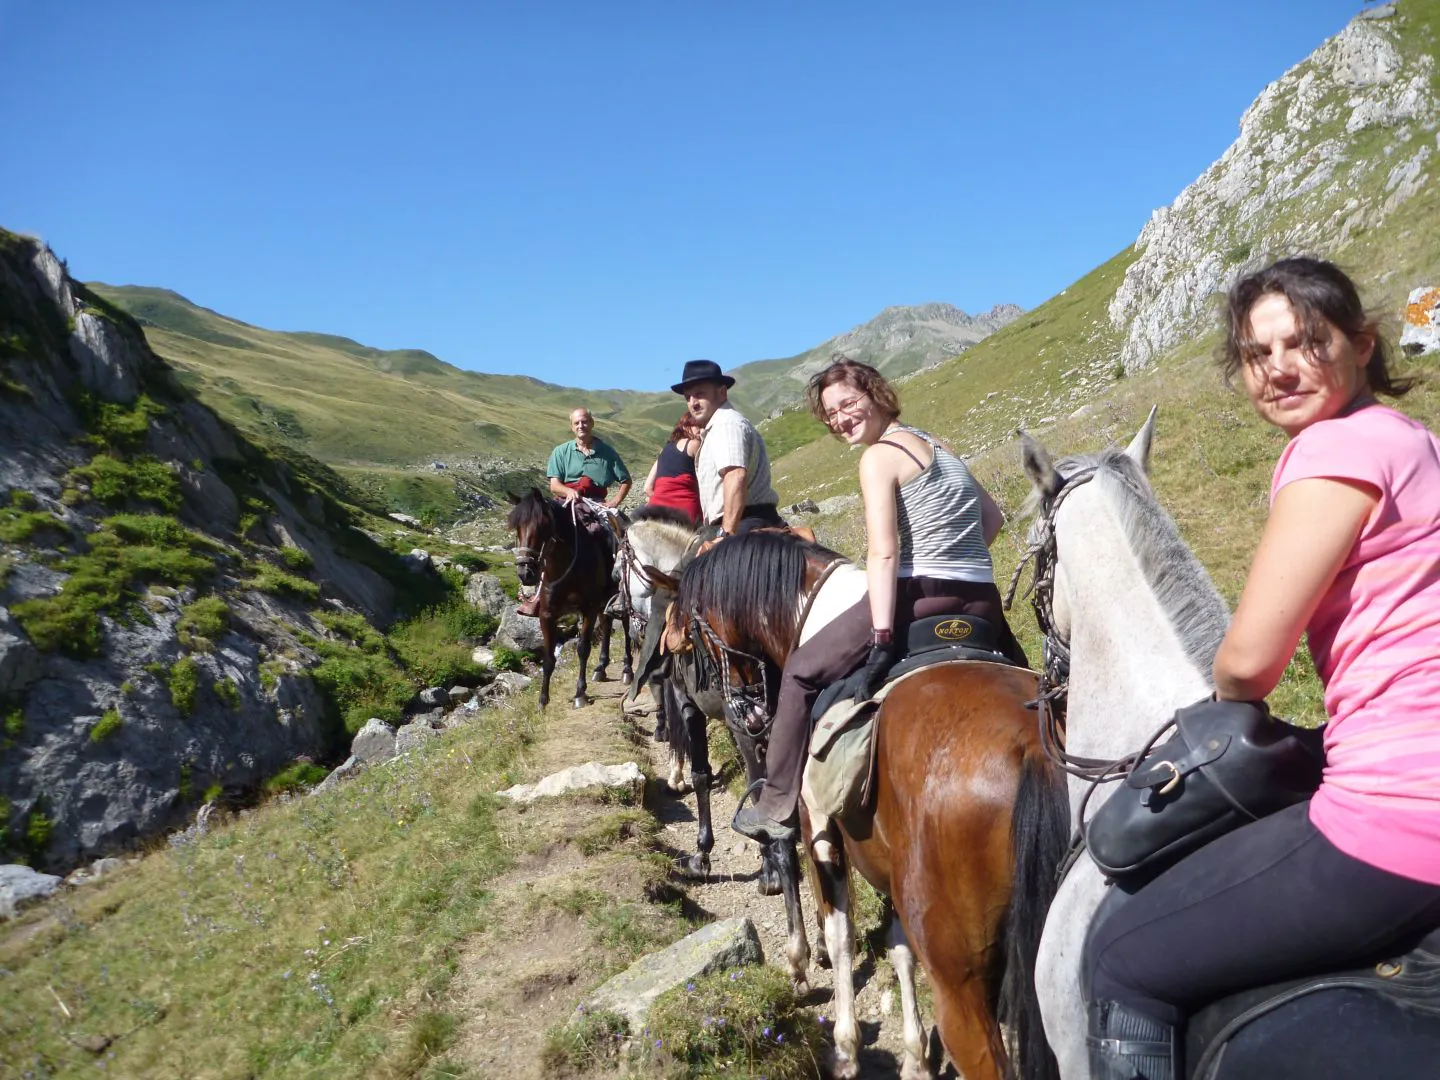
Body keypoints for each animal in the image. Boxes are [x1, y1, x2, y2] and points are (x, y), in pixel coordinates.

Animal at [509, 489, 633, 711]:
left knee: (626, 628)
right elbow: (549, 659)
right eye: (517, 528)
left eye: (542, 525)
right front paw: (542, 701)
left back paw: (627, 669)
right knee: (606, 625)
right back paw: (601, 668)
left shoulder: (588, 608)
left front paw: (579, 694)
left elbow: (583, 649)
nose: (525, 573)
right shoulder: (547, 614)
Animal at [665, 529, 1071, 1080]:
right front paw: (916, 1056)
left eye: (697, 632)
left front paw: (844, 1046)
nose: (746, 709)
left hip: (963, 983)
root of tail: (1033, 745)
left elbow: (840, 935)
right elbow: (899, 951)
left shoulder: (821, 834)